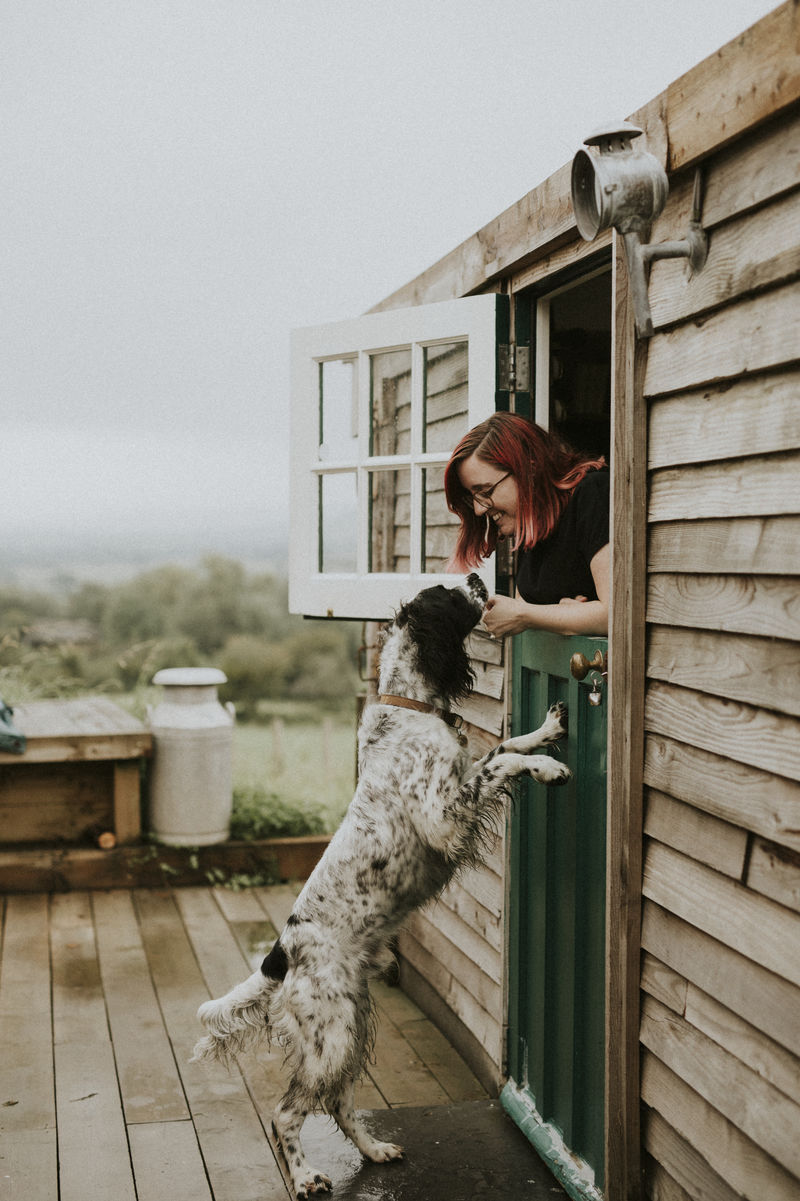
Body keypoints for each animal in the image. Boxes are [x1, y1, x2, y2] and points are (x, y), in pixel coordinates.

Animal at [192, 576, 566, 1196]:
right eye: (451, 593)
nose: (480, 577)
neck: (410, 709)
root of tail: (280, 955)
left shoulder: (460, 783)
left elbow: (503, 747)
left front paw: (547, 730)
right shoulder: (444, 818)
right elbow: (502, 764)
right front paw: (549, 768)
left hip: (350, 1022)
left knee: (339, 1102)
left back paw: (375, 1150)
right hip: (330, 1034)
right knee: (287, 1113)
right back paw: (306, 1177)